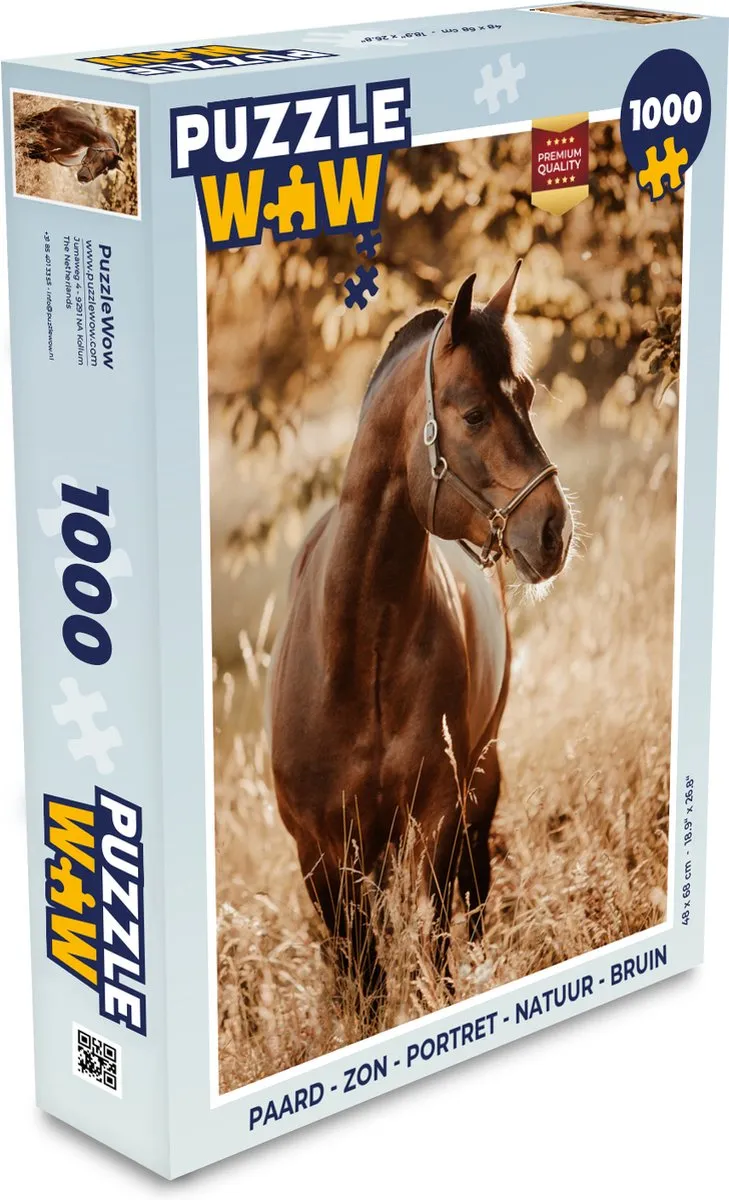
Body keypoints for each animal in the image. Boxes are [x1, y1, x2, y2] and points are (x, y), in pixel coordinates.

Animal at [269, 262, 573, 1010]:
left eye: (526, 395)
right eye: (475, 413)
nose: (554, 529)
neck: (355, 651)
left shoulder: (435, 816)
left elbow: (433, 947)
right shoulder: (319, 851)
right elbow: (364, 980)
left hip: (480, 780)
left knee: (472, 899)